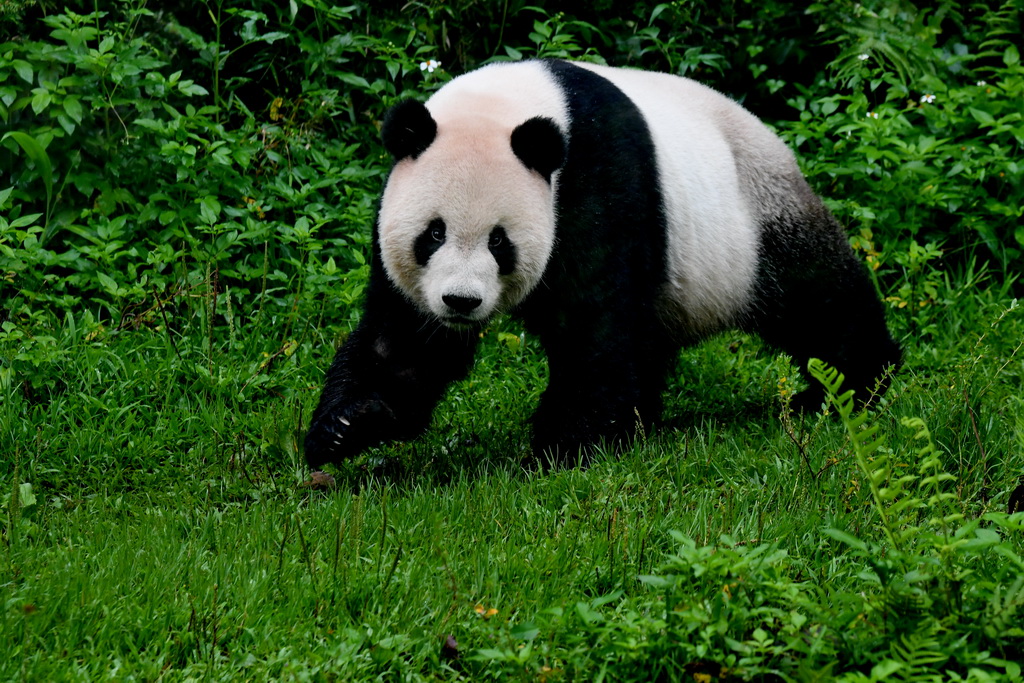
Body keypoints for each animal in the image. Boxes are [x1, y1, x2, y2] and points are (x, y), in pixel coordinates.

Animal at [301, 58, 897, 466]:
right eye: (433, 233)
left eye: (499, 242)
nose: (460, 302)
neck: (507, 105)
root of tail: (775, 140)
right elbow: (403, 341)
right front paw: (346, 425)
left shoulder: (598, 181)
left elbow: (596, 324)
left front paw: (562, 445)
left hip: (754, 221)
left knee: (817, 297)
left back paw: (848, 387)